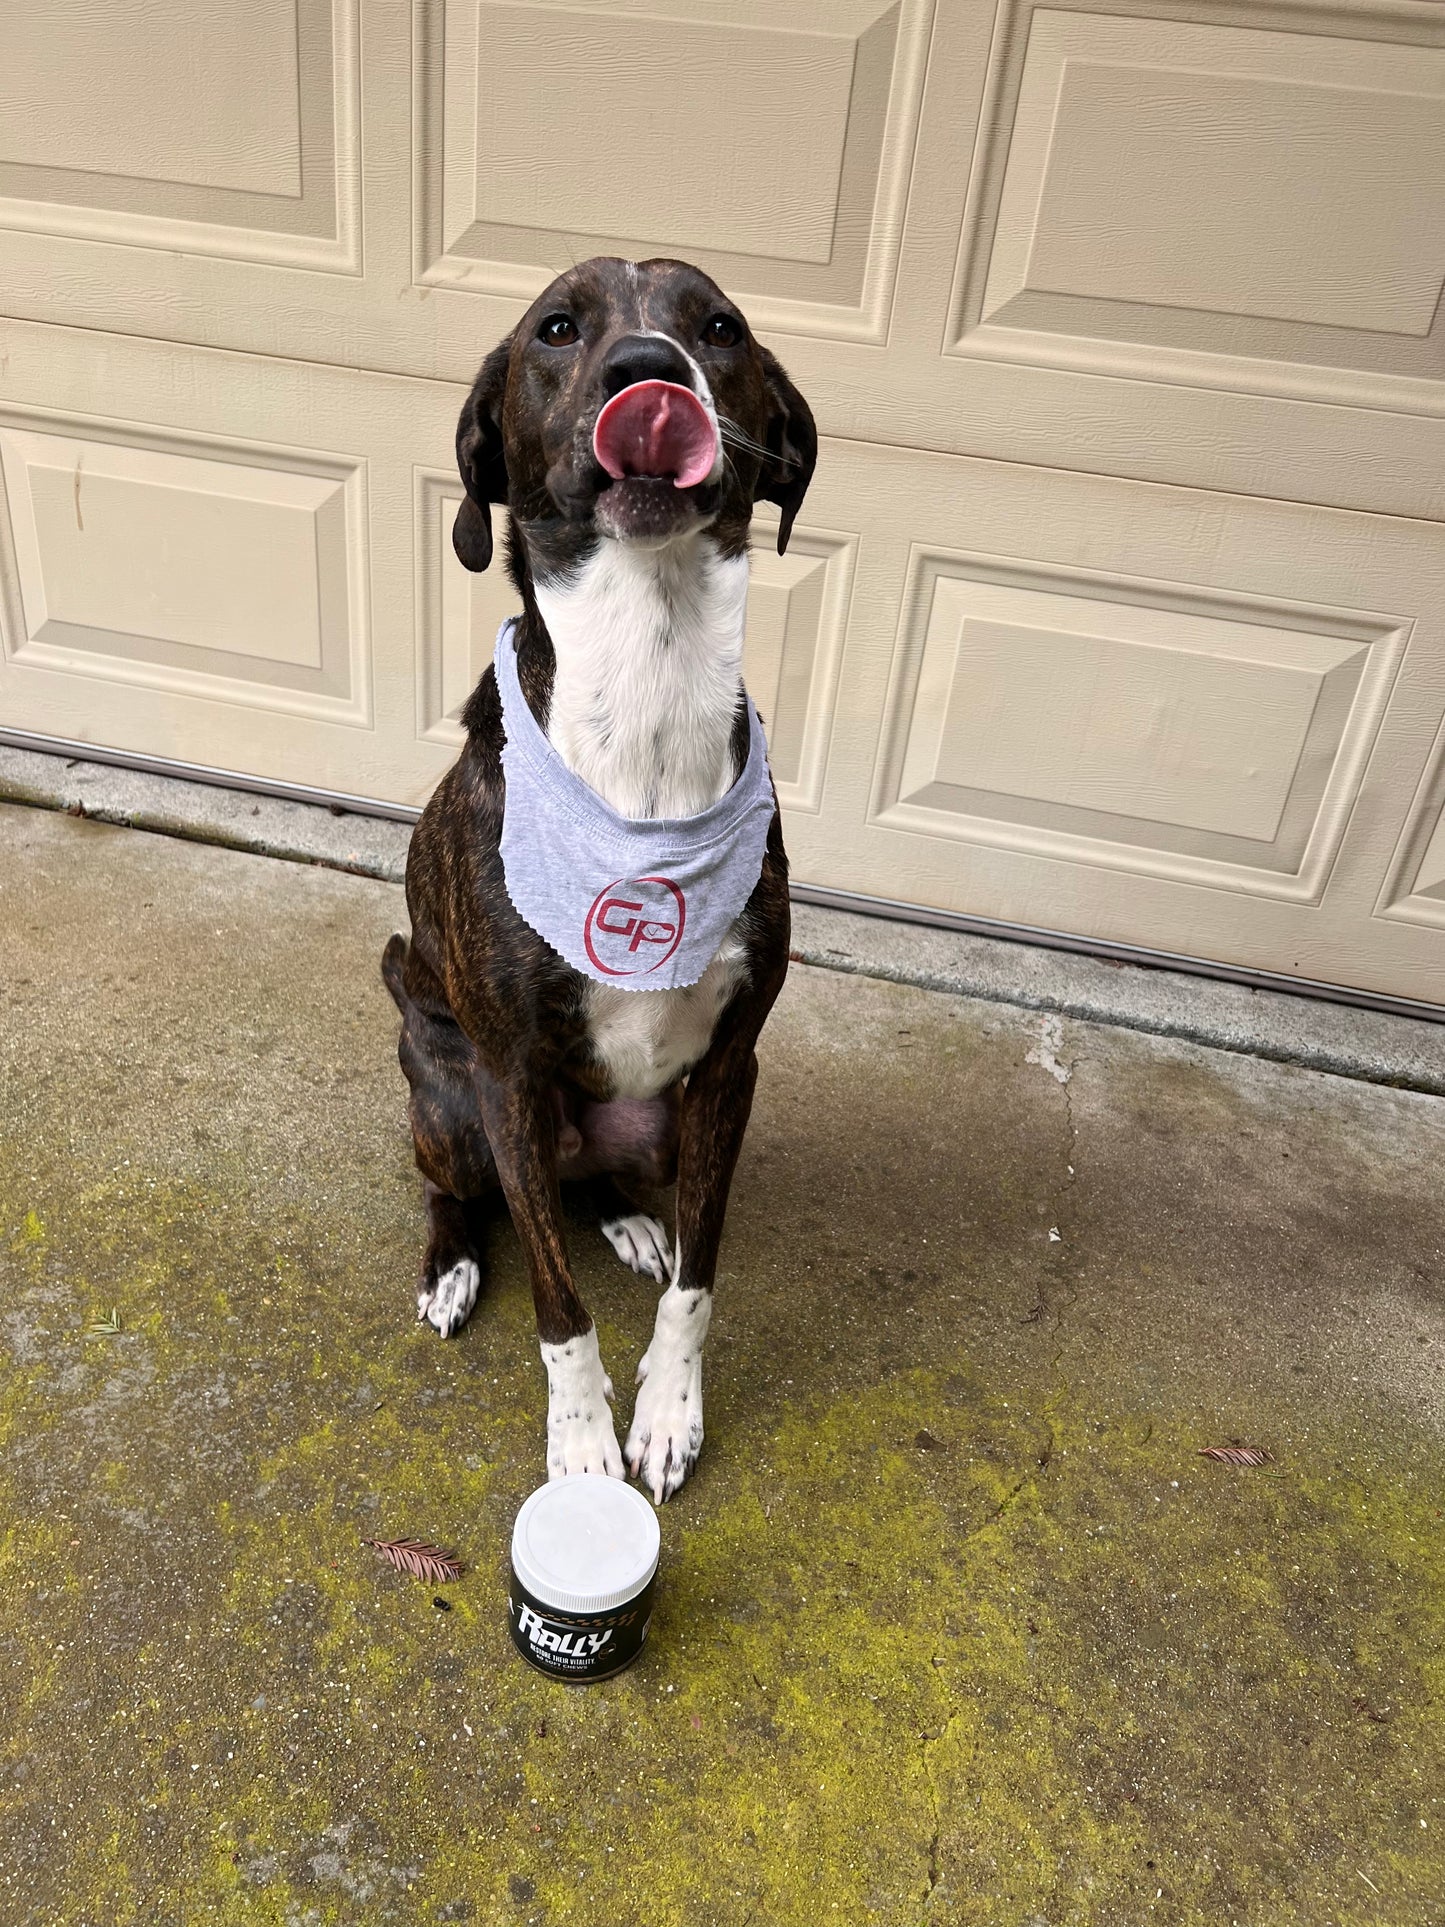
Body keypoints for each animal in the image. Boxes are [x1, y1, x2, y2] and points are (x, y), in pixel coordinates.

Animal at [381, 252, 816, 1503]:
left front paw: (667, 1413)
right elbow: (555, 1302)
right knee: (463, 1195)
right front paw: (578, 1446)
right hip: (451, 1100)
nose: (645, 369)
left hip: (651, 1123)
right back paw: (449, 1267)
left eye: (719, 328)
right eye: (557, 329)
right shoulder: (511, 1078)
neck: (647, 675)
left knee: (596, 1188)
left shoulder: (729, 1069)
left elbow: (699, 1281)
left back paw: (624, 1218)